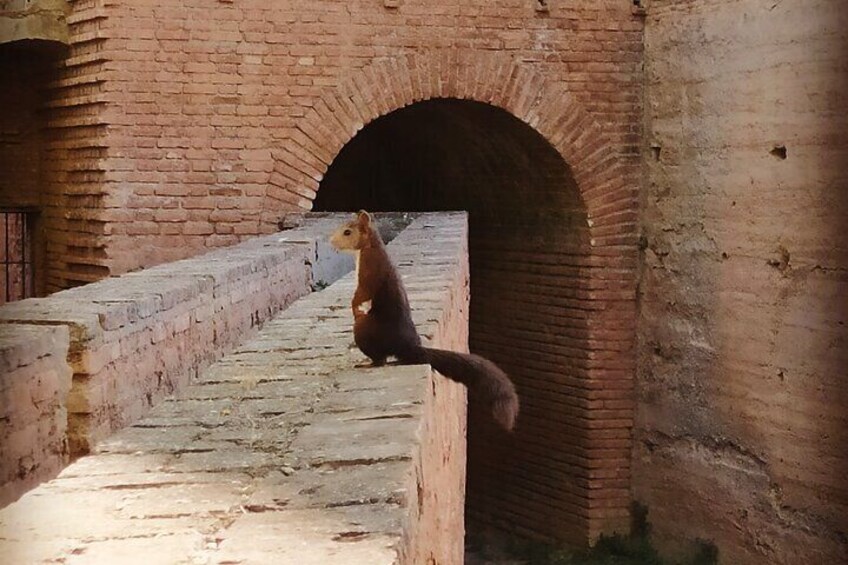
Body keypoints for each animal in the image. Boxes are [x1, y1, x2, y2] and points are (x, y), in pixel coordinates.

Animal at [330, 210, 516, 428]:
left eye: (347, 232)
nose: (331, 241)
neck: (370, 247)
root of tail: (410, 348)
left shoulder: (370, 268)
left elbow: (362, 293)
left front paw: (354, 307)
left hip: (364, 329)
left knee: (381, 359)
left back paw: (368, 362)